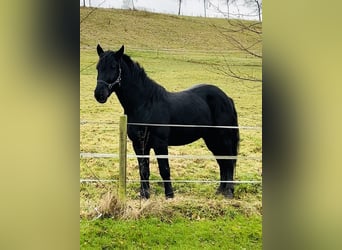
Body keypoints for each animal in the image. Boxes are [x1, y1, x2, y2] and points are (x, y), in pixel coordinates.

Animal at [95, 44, 239, 198]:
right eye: (98, 67)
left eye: (113, 66)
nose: (99, 94)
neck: (145, 104)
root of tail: (227, 98)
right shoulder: (139, 145)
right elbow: (143, 169)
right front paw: (144, 195)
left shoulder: (160, 144)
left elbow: (164, 169)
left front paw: (169, 194)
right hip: (212, 139)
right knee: (222, 162)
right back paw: (220, 190)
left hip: (224, 138)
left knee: (229, 162)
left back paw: (228, 192)